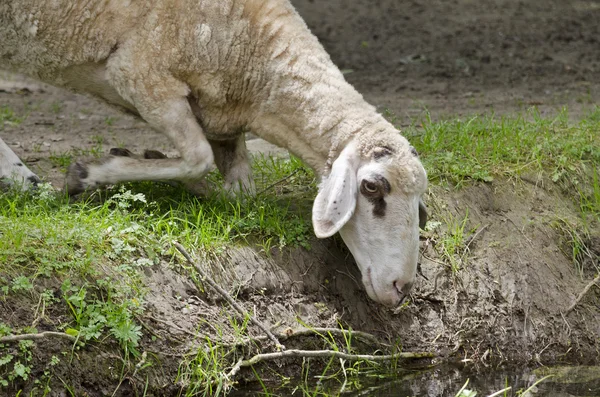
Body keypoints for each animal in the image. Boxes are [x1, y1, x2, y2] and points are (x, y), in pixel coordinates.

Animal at [2, 0, 428, 306]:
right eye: (372, 187)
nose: (402, 287)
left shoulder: (222, 117)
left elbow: (240, 192)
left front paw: (156, 165)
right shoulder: (142, 75)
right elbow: (197, 159)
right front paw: (89, 173)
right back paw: (24, 178)